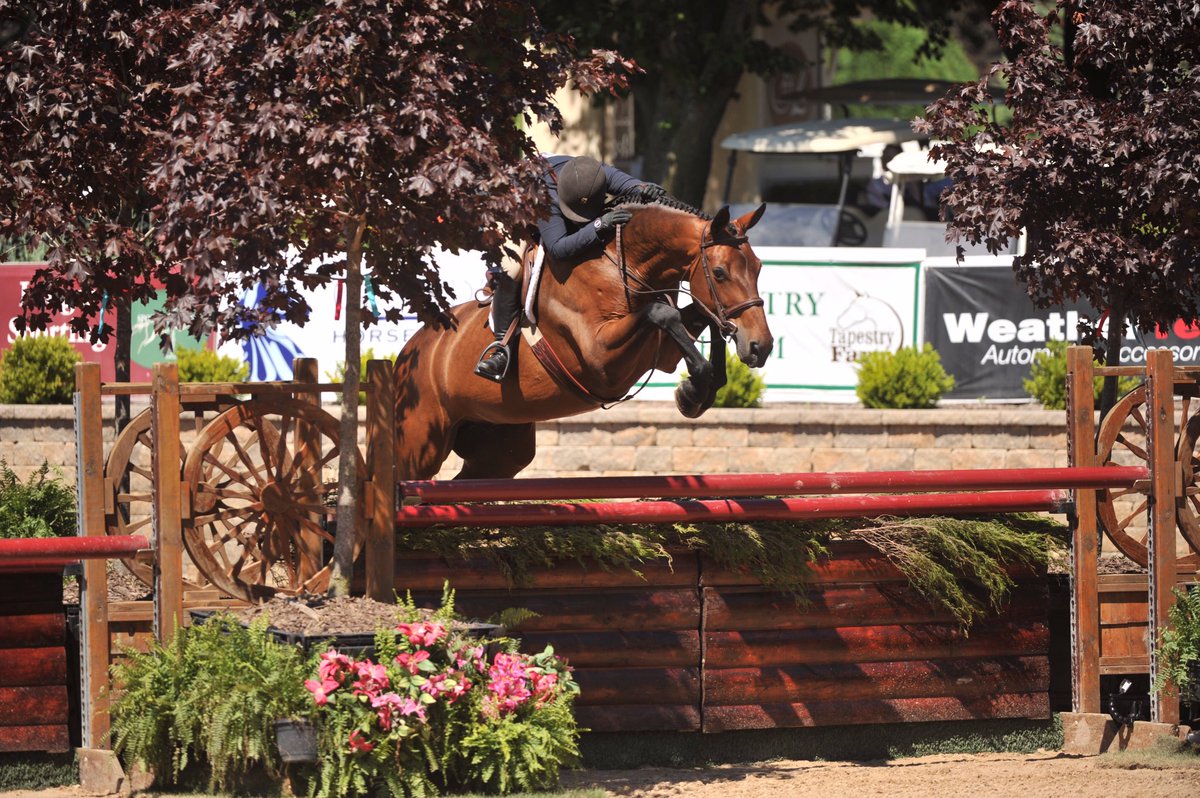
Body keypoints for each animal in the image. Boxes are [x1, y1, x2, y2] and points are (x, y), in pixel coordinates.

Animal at [392, 198, 773, 480]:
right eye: (720, 273)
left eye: (758, 268)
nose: (762, 347)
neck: (623, 267)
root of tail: (408, 353)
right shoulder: (600, 361)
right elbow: (664, 314)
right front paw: (694, 390)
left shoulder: (660, 352)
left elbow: (699, 319)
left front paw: (696, 393)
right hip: (421, 442)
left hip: (499, 444)